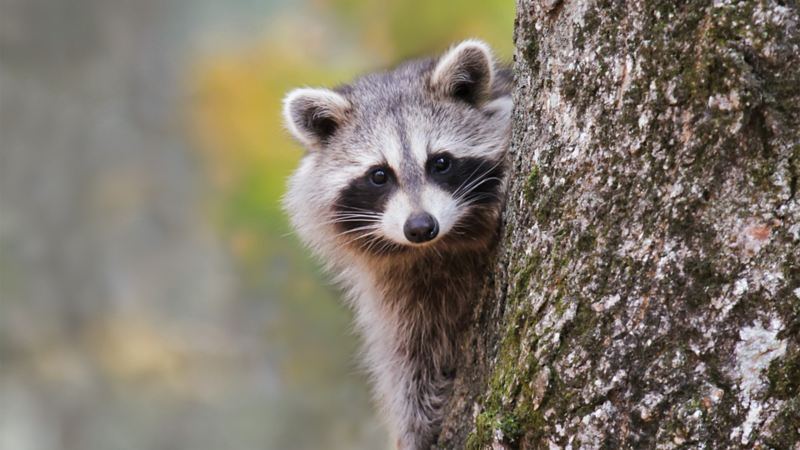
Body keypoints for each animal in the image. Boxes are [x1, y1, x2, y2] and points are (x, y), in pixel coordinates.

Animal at [282, 40, 512, 448]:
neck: (438, 249)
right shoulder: (397, 288)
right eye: (379, 175)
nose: (420, 227)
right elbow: (407, 355)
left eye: (440, 162)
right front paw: (415, 423)